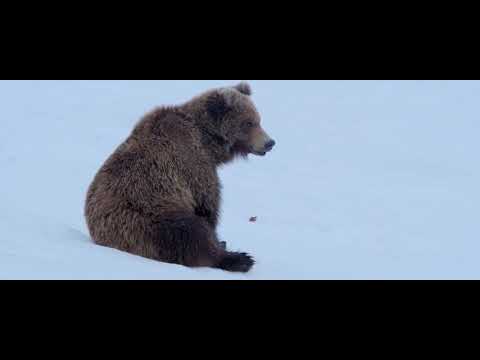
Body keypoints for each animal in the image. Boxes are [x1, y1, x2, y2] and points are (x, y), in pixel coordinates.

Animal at [84, 82, 276, 272]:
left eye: (259, 119)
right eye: (249, 122)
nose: (270, 143)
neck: (208, 141)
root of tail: (102, 240)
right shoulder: (192, 164)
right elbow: (207, 205)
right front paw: (223, 244)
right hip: (146, 218)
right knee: (189, 232)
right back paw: (239, 259)